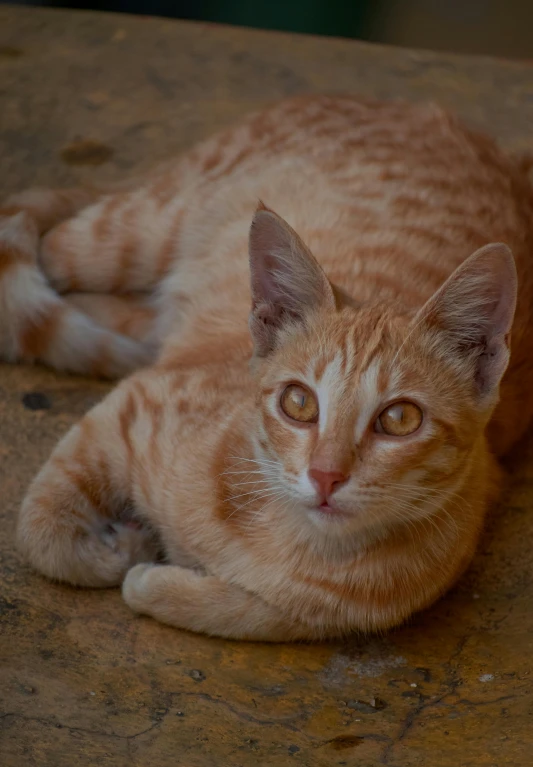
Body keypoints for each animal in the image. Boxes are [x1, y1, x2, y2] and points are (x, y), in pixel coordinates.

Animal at [7, 99, 532, 644]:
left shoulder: (315, 614)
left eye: (400, 419)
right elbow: (40, 534)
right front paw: (116, 552)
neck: (287, 539)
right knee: (54, 246)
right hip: (130, 235)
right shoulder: (131, 405)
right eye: (298, 402)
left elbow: (238, 610)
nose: (325, 476)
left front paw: (155, 575)